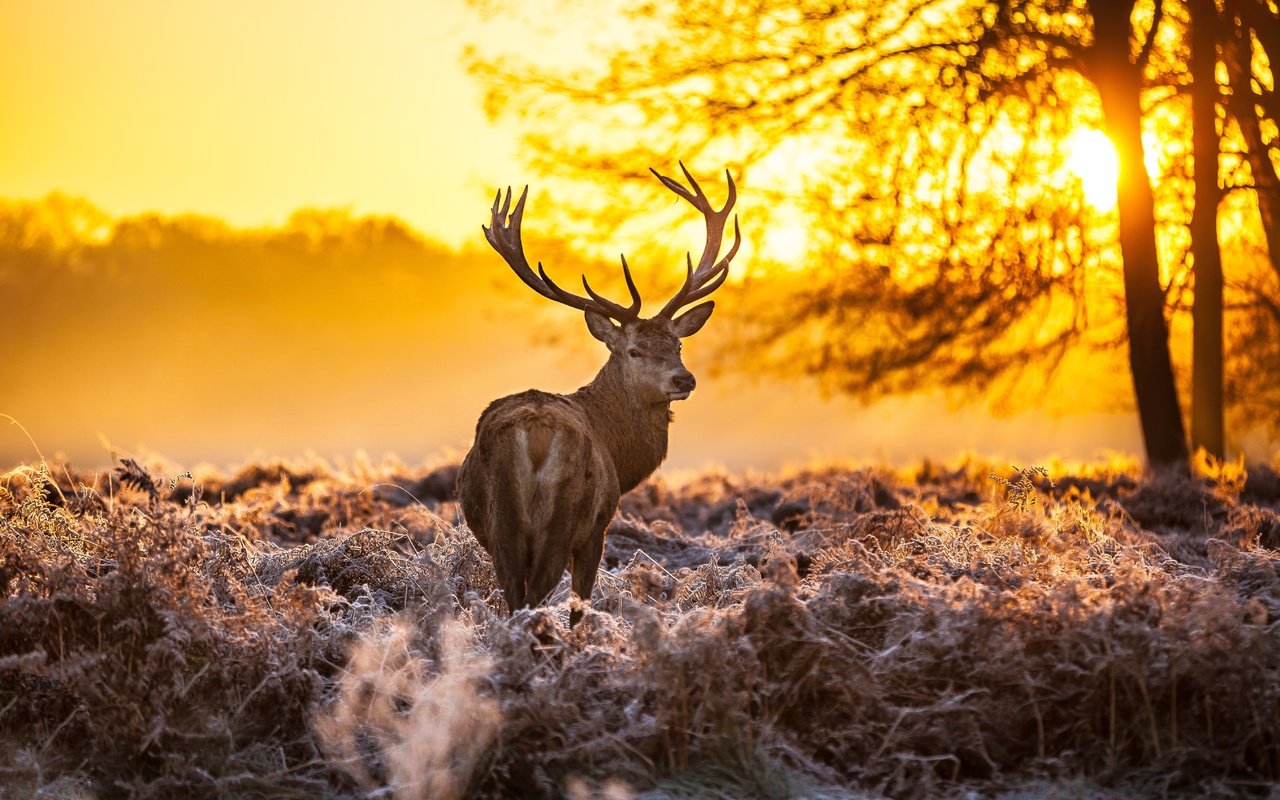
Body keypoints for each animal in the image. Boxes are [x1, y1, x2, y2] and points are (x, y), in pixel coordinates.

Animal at [458, 163, 742, 624]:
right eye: (634, 349)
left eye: (678, 345)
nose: (684, 380)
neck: (619, 454)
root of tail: (534, 435)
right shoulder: (598, 526)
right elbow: (581, 603)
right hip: (565, 517)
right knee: (537, 596)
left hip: (503, 525)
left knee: (515, 598)